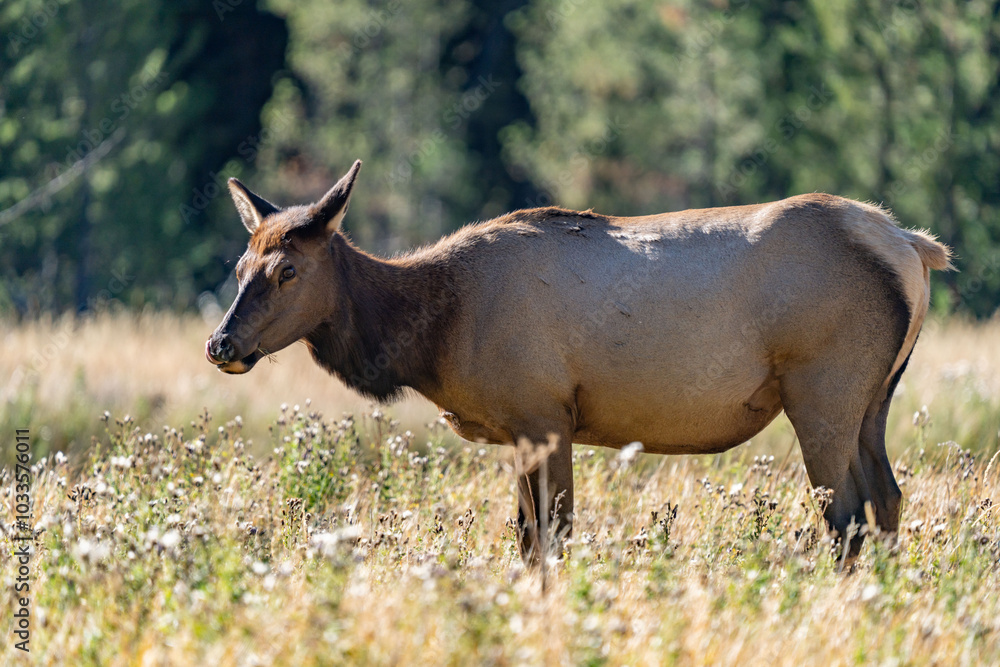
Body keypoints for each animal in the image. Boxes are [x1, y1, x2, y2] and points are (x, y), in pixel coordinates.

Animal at [206, 160, 952, 563]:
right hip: (875, 395)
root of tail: (913, 246)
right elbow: (525, 536)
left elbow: (552, 533)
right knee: (887, 497)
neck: (434, 334)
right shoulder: (519, 429)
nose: (221, 344)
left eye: (288, 271)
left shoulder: (543, 412)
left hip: (821, 386)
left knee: (846, 514)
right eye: (240, 265)